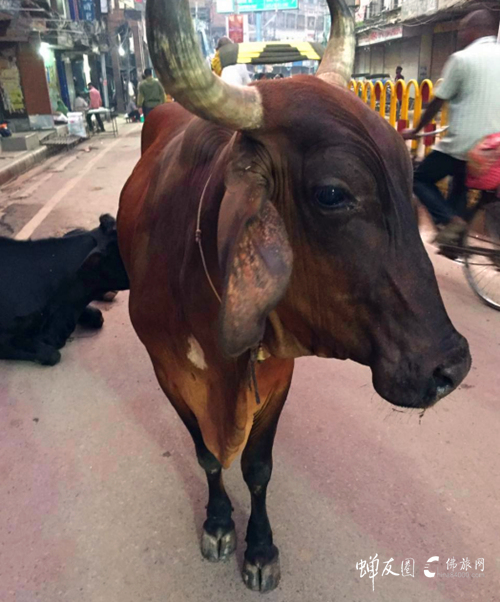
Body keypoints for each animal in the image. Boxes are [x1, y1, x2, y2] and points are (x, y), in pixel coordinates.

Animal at [119, 0, 470, 592]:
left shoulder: (277, 376)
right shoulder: (165, 369)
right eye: (331, 194)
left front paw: (260, 549)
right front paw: (218, 522)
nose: (452, 367)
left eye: (408, 175)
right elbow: (207, 456)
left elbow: (257, 469)